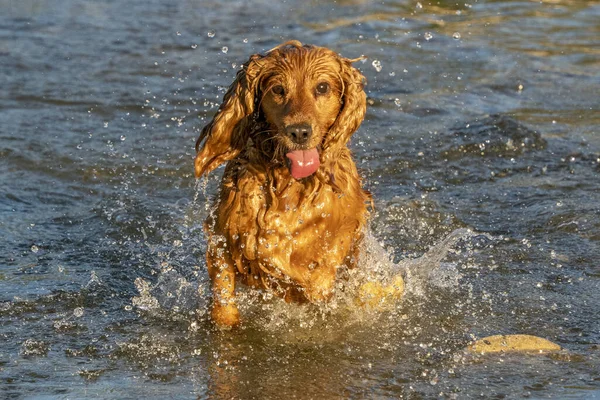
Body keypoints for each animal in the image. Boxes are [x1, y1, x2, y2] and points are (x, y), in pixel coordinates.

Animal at [195, 40, 392, 328]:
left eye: (322, 87)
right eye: (278, 89)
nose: (299, 132)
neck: (290, 186)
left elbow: (321, 270)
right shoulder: (223, 234)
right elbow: (224, 293)